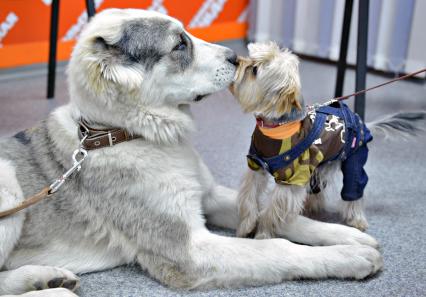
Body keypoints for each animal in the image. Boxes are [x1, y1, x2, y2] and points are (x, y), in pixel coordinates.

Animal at [0, 8, 382, 294]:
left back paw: (47, 277)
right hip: (9, 187)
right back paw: (51, 287)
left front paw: (348, 236)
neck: (125, 134)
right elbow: (275, 247)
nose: (236, 57)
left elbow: (275, 216)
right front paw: (350, 256)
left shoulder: (209, 196)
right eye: (179, 45)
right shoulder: (190, 251)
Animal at [231, 41, 424, 237]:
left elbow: (271, 212)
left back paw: (357, 220)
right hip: (321, 164)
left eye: (255, 70)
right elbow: (248, 196)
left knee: (354, 190)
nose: (237, 60)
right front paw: (246, 225)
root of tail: (363, 124)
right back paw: (310, 207)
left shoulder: (291, 181)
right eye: (251, 59)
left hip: (354, 161)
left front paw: (263, 234)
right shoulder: (257, 166)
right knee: (317, 187)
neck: (276, 128)